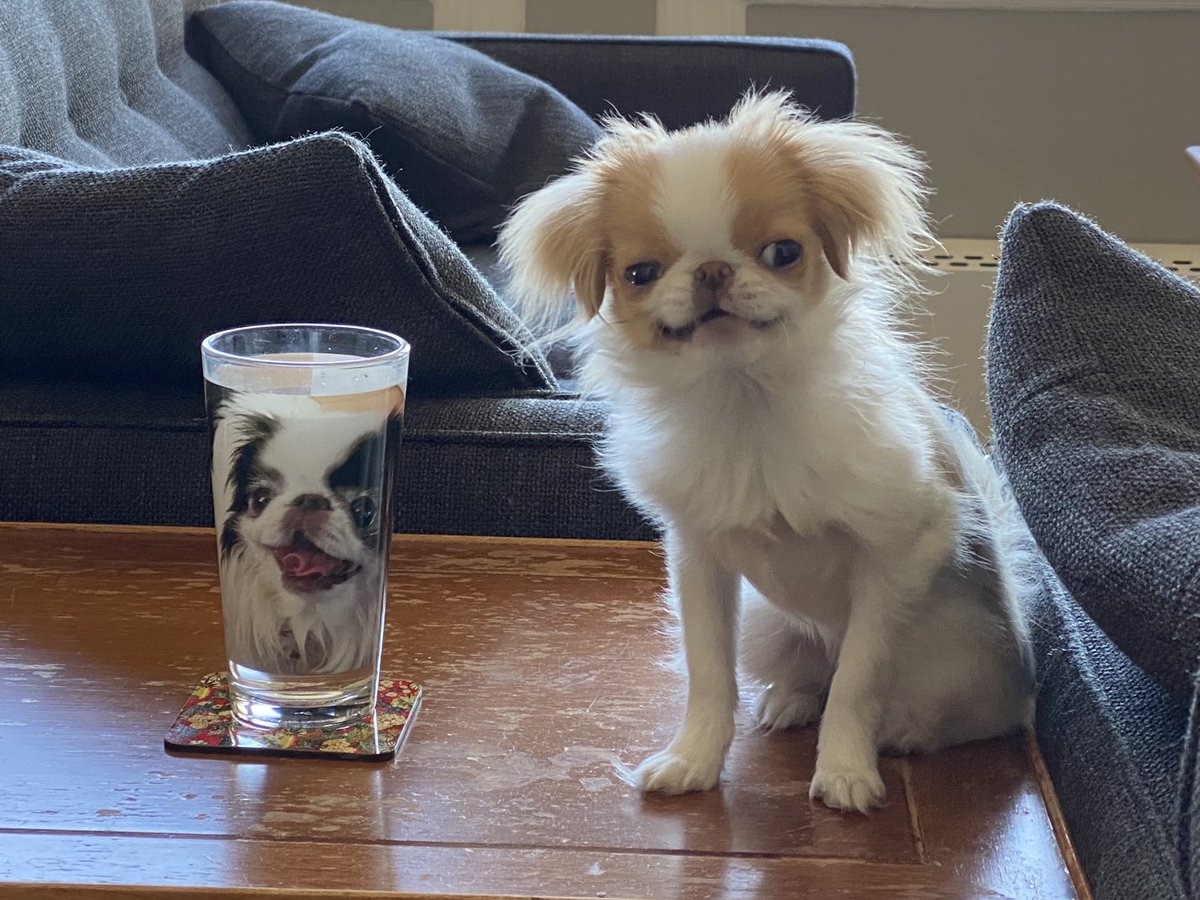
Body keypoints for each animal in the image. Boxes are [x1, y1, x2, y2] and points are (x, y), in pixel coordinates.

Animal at [497, 91, 1036, 812]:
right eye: (640, 273)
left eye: (783, 252)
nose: (713, 270)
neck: (744, 403)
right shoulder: (699, 561)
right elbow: (708, 673)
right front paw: (693, 760)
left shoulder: (896, 555)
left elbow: (859, 679)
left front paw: (846, 772)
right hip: (768, 626)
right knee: (808, 674)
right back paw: (791, 700)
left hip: (953, 661)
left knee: (964, 714)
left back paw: (905, 730)